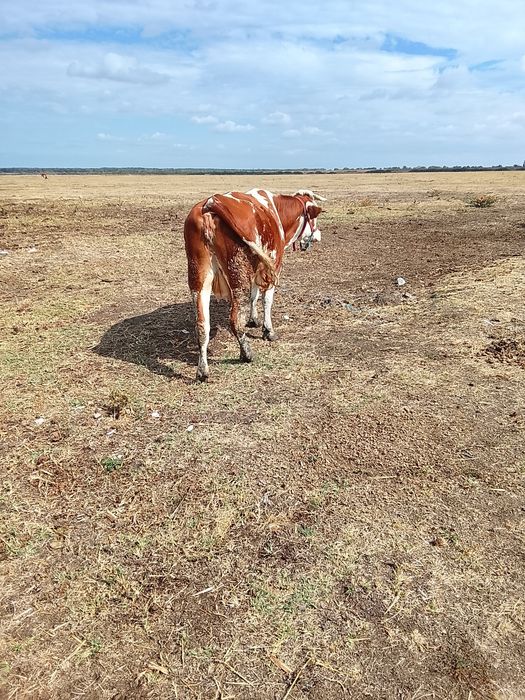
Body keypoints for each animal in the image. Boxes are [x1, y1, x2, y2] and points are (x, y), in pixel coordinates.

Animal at [183, 188, 325, 381]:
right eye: (314, 219)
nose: (318, 236)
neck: (275, 211)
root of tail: (210, 203)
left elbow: (254, 295)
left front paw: (253, 319)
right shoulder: (273, 266)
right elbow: (266, 300)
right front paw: (268, 330)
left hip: (199, 278)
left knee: (202, 325)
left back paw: (203, 371)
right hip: (238, 275)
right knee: (234, 320)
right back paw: (246, 353)